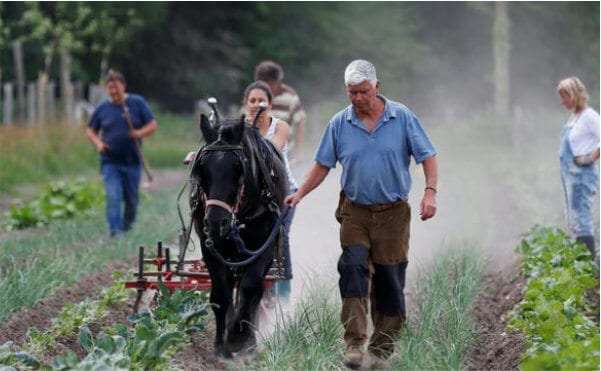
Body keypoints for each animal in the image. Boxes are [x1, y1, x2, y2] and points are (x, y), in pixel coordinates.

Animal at [190, 115, 288, 358]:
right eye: (202, 167)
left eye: (237, 167)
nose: (216, 222)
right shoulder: (210, 246)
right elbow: (220, 294)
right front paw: (220, 345)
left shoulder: (265, 244)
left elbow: (251, 288)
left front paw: (240, 338)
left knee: (253, 292)